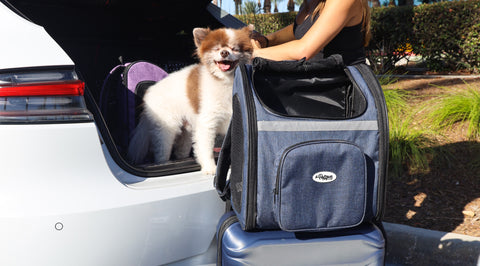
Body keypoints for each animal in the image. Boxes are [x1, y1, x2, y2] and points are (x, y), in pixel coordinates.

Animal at [127, 25, 255, 175]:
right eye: (216, 49)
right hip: (166, 129)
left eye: (235, 48)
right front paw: (210, 168)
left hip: (186, 134)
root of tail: (149, 94)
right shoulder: (207, 122)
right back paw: (163, 163)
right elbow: (206, 148)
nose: (224, 52)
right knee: (162, 150)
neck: (225, 80)